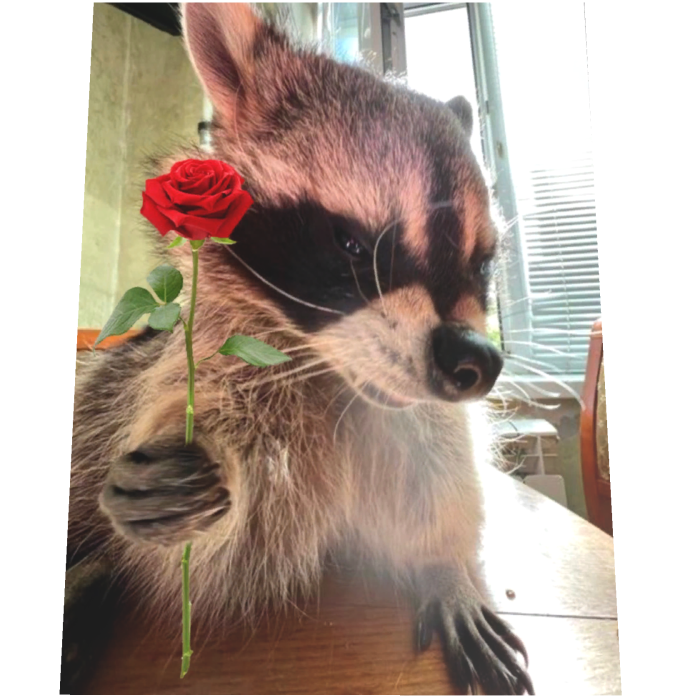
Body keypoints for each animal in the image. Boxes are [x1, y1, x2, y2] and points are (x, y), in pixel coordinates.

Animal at [66, 2, 533, 695]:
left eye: (482, 265)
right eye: (352, 245)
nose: (477, 362)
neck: (337, 379)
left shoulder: (420, 414)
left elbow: (443, 465)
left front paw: (445, 562)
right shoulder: (213, 357)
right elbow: (223, 548)